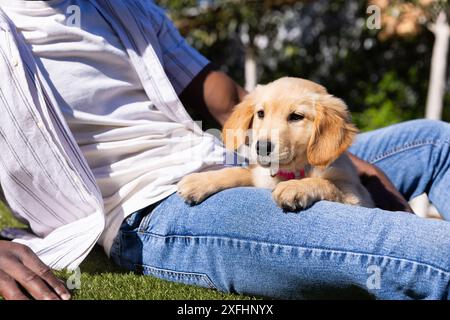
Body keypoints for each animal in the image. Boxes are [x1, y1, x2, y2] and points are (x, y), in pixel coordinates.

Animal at [178, 77, 374, 211]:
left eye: (296, 116)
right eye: (261, 113)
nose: (261, 147)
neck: (290, 172)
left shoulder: (357, 197)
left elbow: (327, 184)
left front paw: (295, 186)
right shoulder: (259, 177)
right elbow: (239, 172)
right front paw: (200, 180)